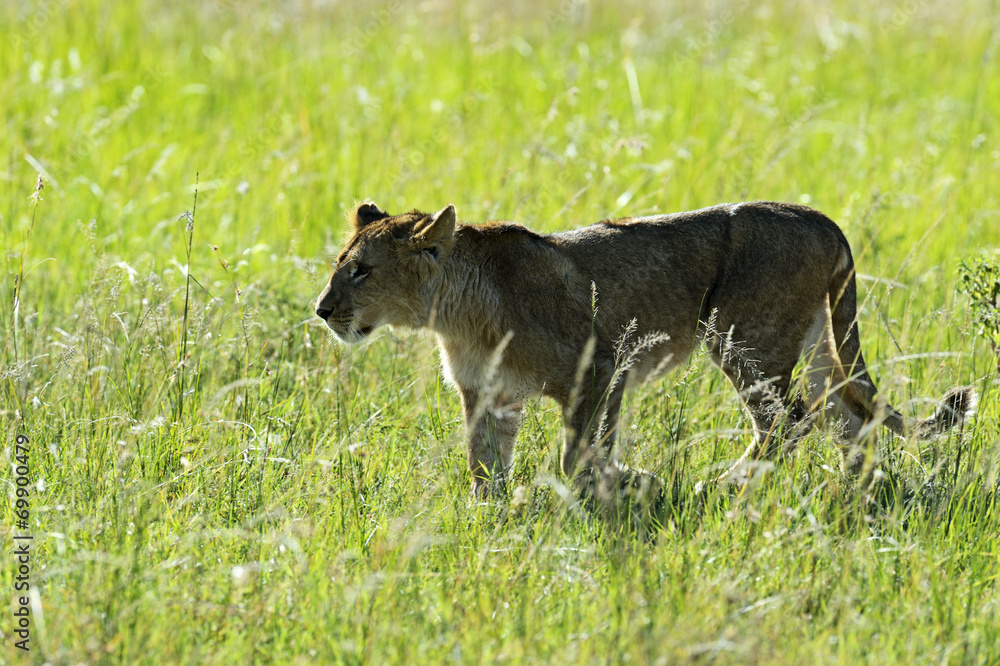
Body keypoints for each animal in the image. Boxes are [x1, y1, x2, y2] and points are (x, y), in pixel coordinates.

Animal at [316, 200, 976, 502]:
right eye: (340, 265)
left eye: (361, 271)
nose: (321, 311)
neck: (454, 312)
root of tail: (823, 219)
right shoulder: (488, 394)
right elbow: (485, 466)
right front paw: (492, 517)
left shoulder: (602, 366)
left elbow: (577, 453)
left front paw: (623, 484)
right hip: (813, 345)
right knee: (846, 419)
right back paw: (853, 494)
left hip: (743, 339)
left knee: (787, 420)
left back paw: (727, 485)